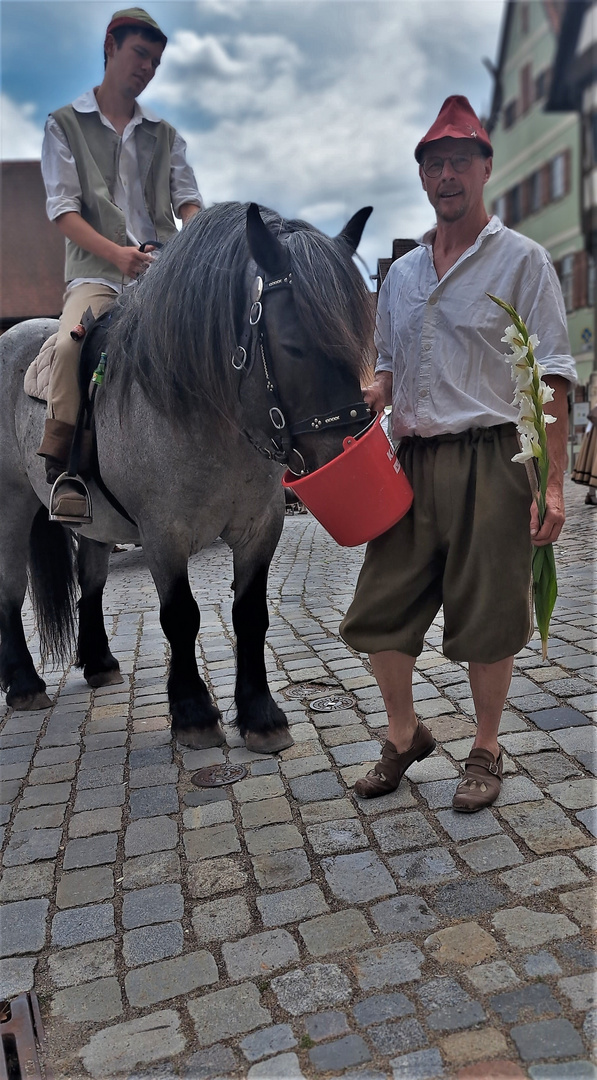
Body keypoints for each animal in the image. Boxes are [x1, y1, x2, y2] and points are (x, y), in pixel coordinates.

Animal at [0, 200, 371, 751]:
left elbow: (250, 614)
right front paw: (194, 711)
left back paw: (99, 661)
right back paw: (23, 681)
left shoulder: (260, 528)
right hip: (11, 503)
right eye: (293, 344)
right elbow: (181, 615)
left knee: (90, 580)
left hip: (92, 523)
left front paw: (260, 713)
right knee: (10, 585)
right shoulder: (163, 535)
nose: (348, 450)